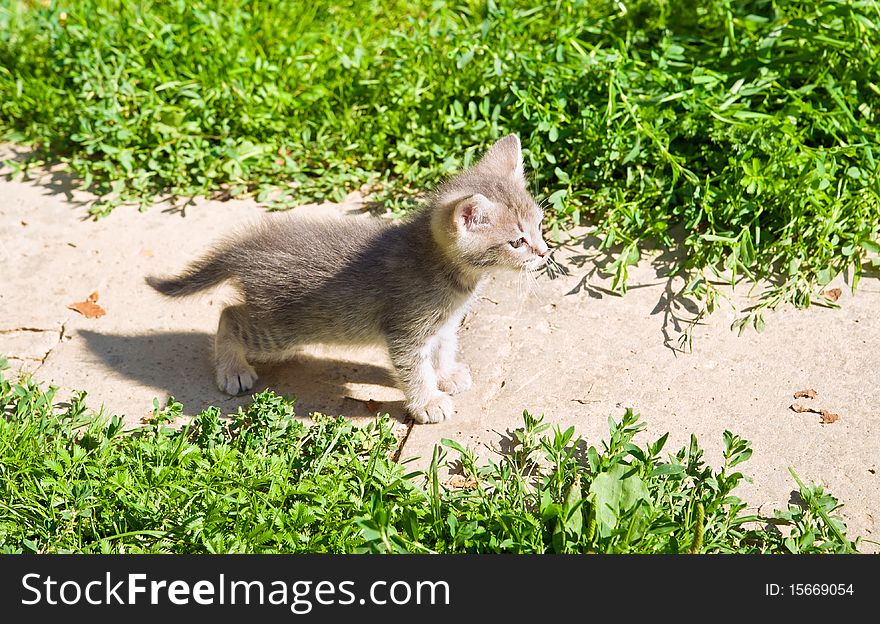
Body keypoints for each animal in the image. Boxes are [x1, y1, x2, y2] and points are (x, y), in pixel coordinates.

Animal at [150, 133, 548, 422]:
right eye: (517, 241)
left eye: (540, 226)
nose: (545, 254)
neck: (445, 271)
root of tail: (248, 248)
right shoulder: (405, 331)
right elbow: (414, 370)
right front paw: (427, 402)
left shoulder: (443, 324)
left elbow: (444, 348)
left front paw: (446, 374)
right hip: (279, 331)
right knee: (229, 316)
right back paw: (232, 370)